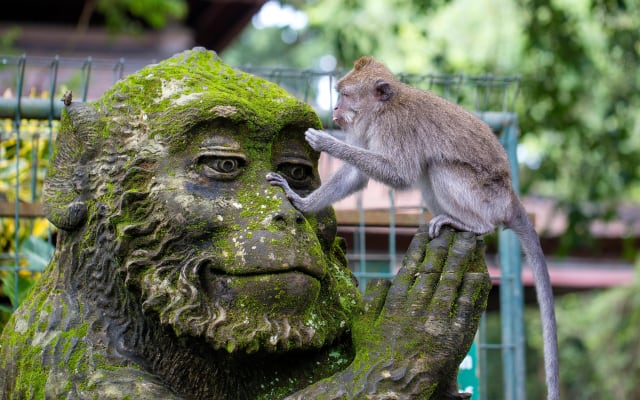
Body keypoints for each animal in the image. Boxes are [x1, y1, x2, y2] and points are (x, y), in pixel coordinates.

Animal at [266, 56, 559, 400]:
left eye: (346, 95)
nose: (336, 108)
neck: (382, 109)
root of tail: (511, 196)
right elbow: (358, 176)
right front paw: (301, 202)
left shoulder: (394, 127)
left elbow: (400, 173)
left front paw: (327, 142)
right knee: (427, 169)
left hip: (486, 197)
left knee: (436, 167)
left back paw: (473, 223)